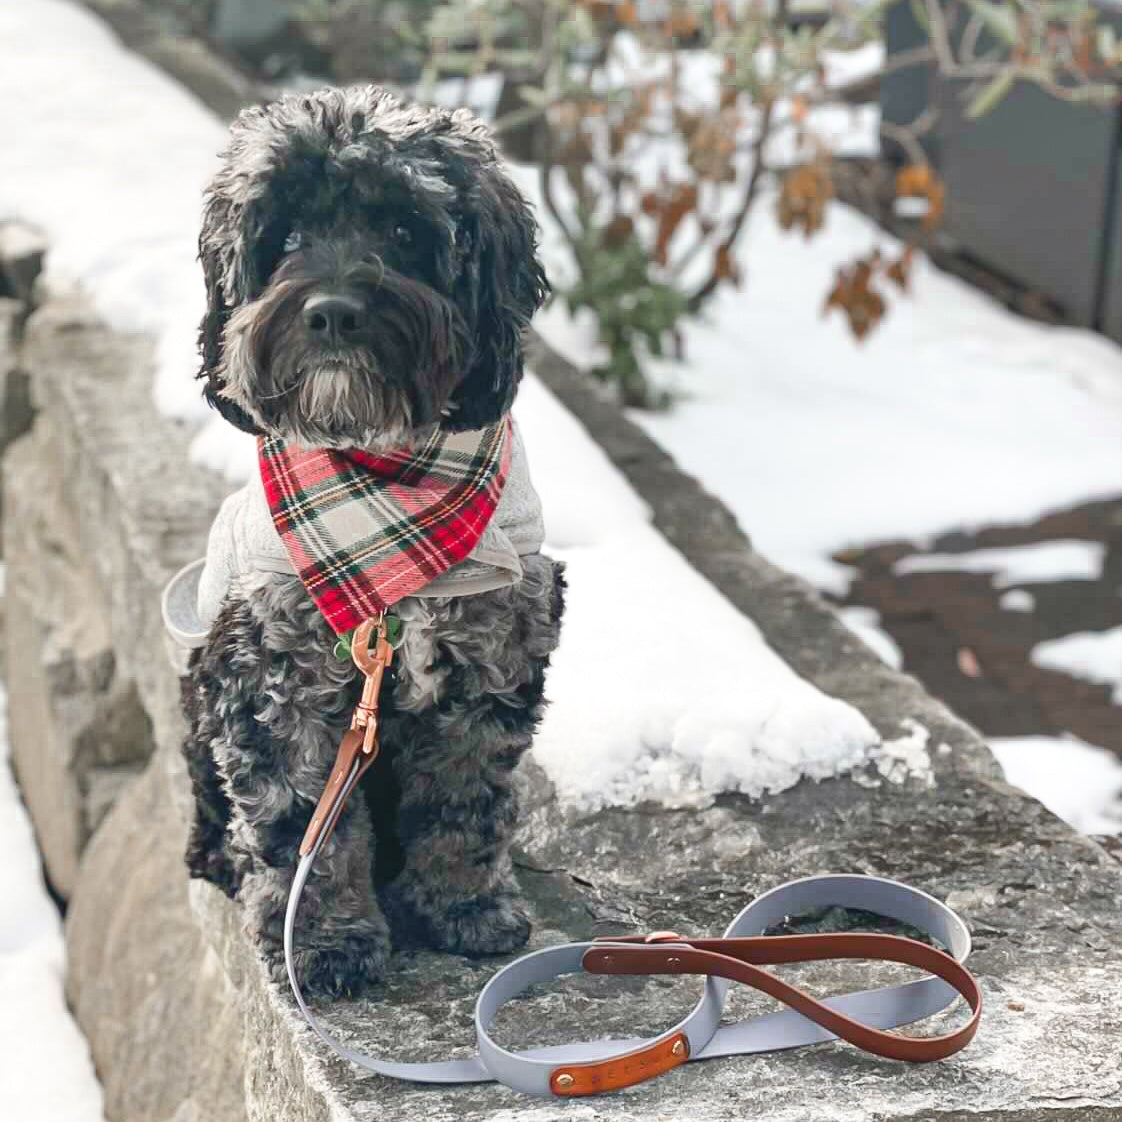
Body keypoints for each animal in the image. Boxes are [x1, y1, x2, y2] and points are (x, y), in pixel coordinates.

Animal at [185, 89, 569, 1000]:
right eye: (286, 236)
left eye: (402, 230)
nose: (332, 312)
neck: (385, 474)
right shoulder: (271, 680)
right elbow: (303, 834)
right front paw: (326, 944)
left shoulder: (492, 660)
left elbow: (466, 803)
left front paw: (466, 906)